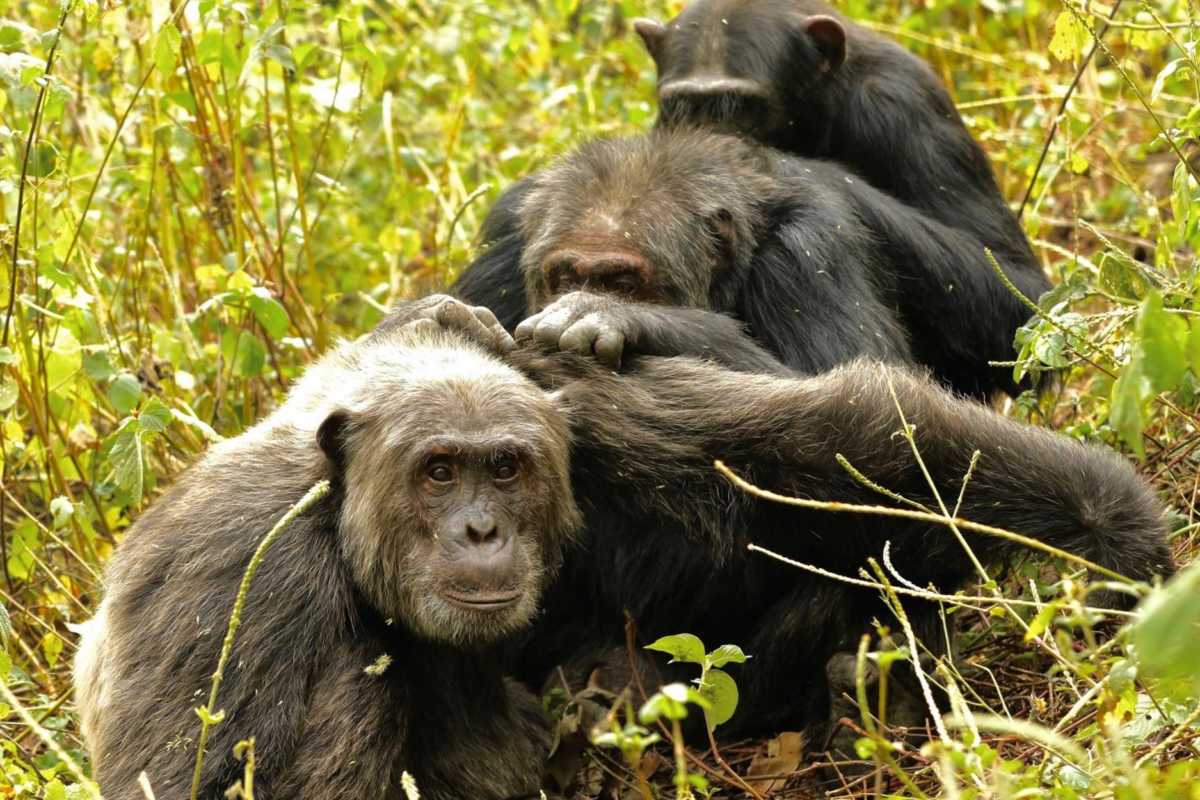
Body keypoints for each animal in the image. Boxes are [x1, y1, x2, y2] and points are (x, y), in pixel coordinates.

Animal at [71, 299, 580, 800]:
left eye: (504, 469)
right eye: (440, 472)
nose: (481, 530)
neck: (336, 512)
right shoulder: (243, 571)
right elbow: (183, 781)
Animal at [463, 130, 1046, 400]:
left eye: (622, 281)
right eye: (565, 274)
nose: (576, 293)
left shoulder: (809, 253)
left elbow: (875, 395)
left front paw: (608, 315)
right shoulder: (505, 248)